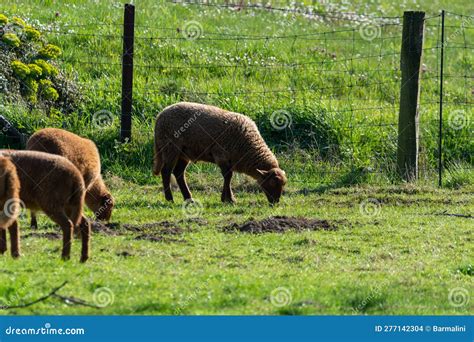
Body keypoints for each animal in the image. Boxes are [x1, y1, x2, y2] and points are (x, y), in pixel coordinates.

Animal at [154, 101, 286, 203]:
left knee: (178, 172)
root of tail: (160, 115)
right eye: (272, 183)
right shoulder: (221, 155)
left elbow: (228, 177)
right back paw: (170, 199)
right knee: (166, 171)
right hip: (170, 147)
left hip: (183, 153)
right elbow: (228, 176)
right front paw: (229, 199)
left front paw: (227, 198)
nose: (276, 202)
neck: (247, 146)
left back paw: (188, 198)